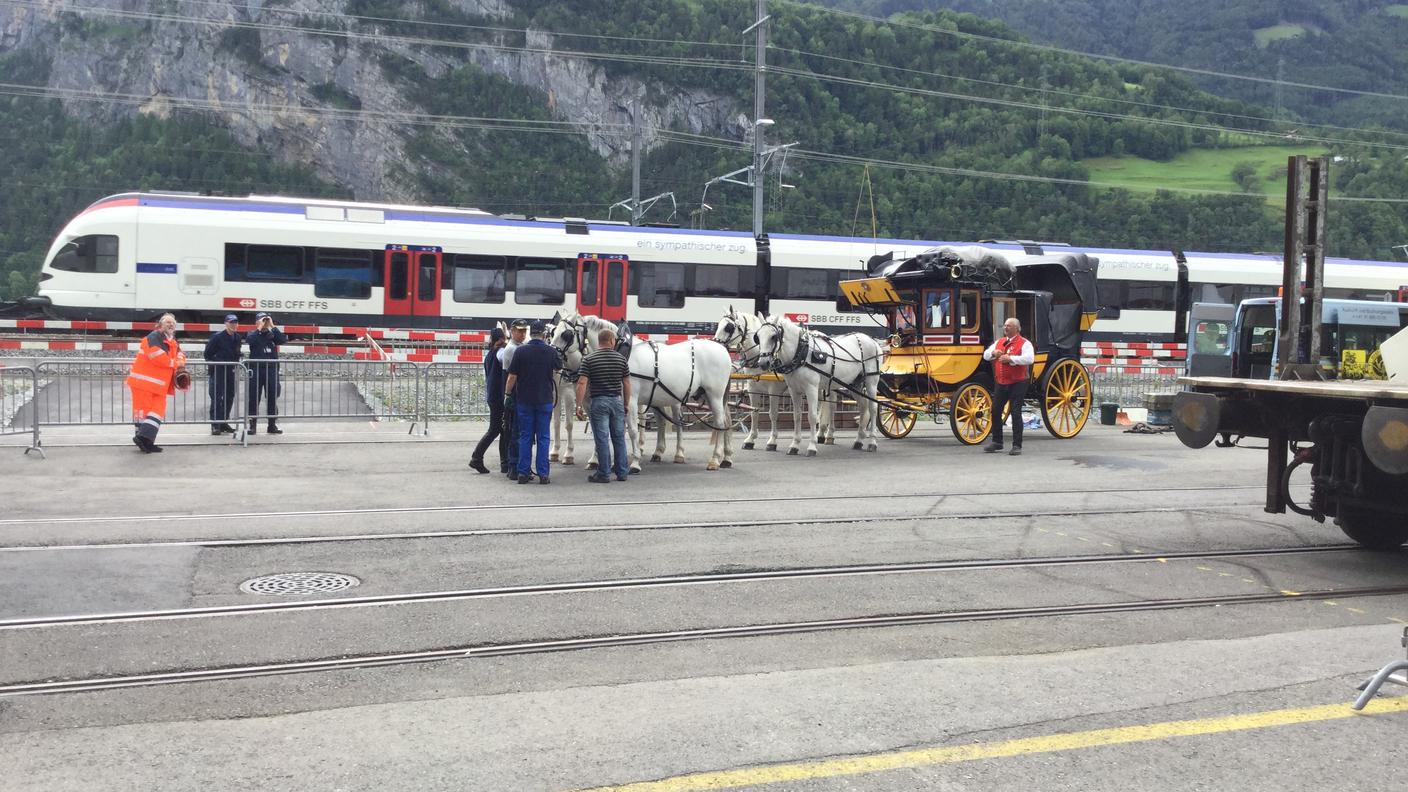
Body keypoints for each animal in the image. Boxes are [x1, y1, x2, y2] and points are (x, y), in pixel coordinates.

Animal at [546, 310, 737, 467]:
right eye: (552, 333)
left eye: (566, 334)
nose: (552, 356)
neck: (619, 352)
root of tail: (722, 348)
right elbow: (600, 430)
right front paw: (597, 460)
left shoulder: (630, 400)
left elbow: (631, 430)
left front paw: (634, 462)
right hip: (697, 395)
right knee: (724, 420)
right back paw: (724, 457)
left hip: (714, 395)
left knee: (719, 422)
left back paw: (714, 459)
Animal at [715, 302, 833, 448]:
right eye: (757, 337)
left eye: (728, 327)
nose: (713, 344)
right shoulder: (753, 389)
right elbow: (754, 412)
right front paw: (750, 438)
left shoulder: (774, 390)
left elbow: (773, 414)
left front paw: (772, 440)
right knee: (822, 405)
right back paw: (821, 433)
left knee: (831, 407)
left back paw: (829, 434)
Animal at [760, 311, 878, 453]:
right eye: (758, 336)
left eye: (773, 337)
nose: (763, 363)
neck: (802, 352)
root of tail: (872, 340)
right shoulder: (794, 390)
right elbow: (797, 416)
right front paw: (795, 444)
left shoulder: (811, 388)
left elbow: (812, 416)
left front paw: (812, 446)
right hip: (854, 384)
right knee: (863, 407)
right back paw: (858, 440)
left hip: (871, 382)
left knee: (873, 408)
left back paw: (872, 442)